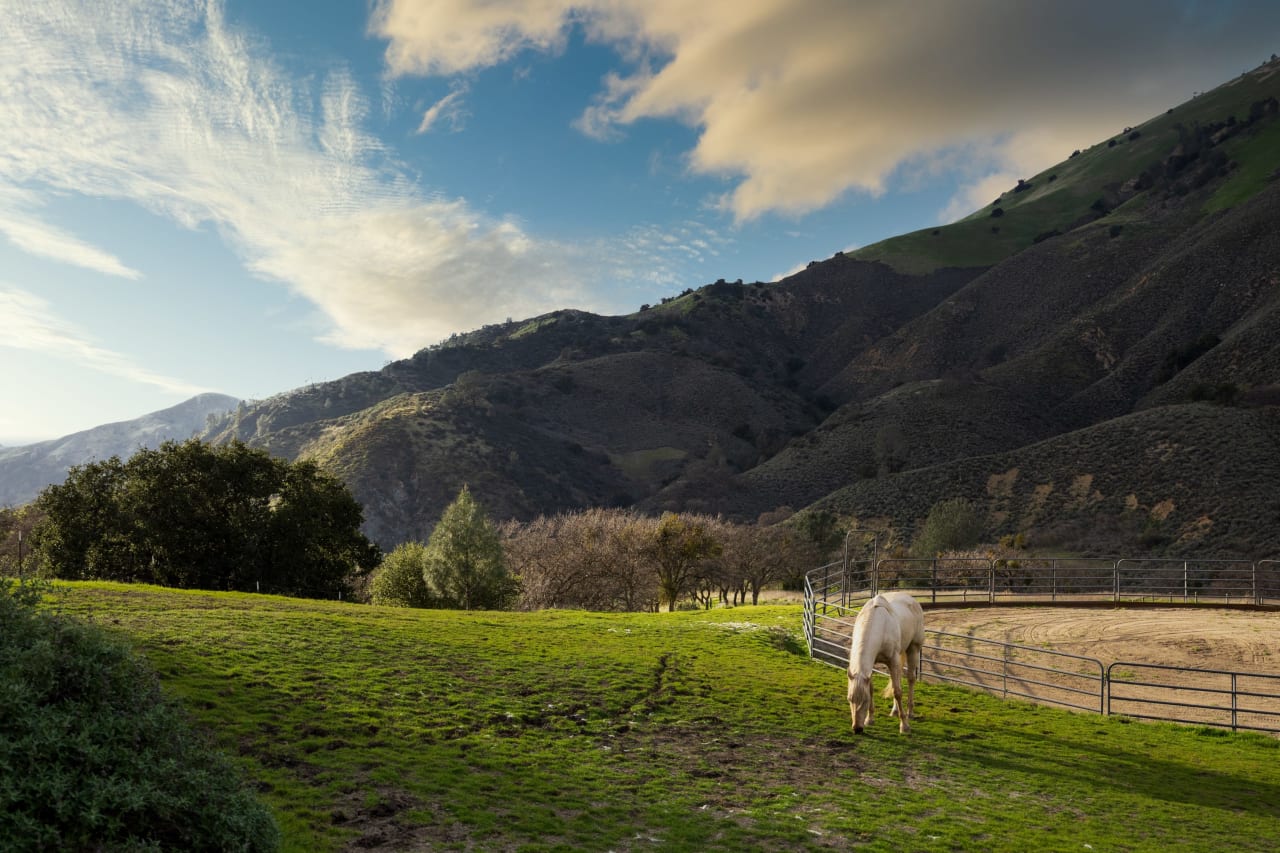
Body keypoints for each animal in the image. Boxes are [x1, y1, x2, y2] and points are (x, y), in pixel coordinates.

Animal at [844, 591, 926, 732]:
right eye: (850, 699)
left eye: (865, 700)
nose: (857, 728)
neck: (878, 625)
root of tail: (911, 599)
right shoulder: (871, 666)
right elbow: (873, 689)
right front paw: (869, 719)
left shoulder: (893, 660)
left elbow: (897, 692)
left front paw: (904, 726)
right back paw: (894, 711)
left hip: (913, 650)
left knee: (910, 679)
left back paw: (910, 712)